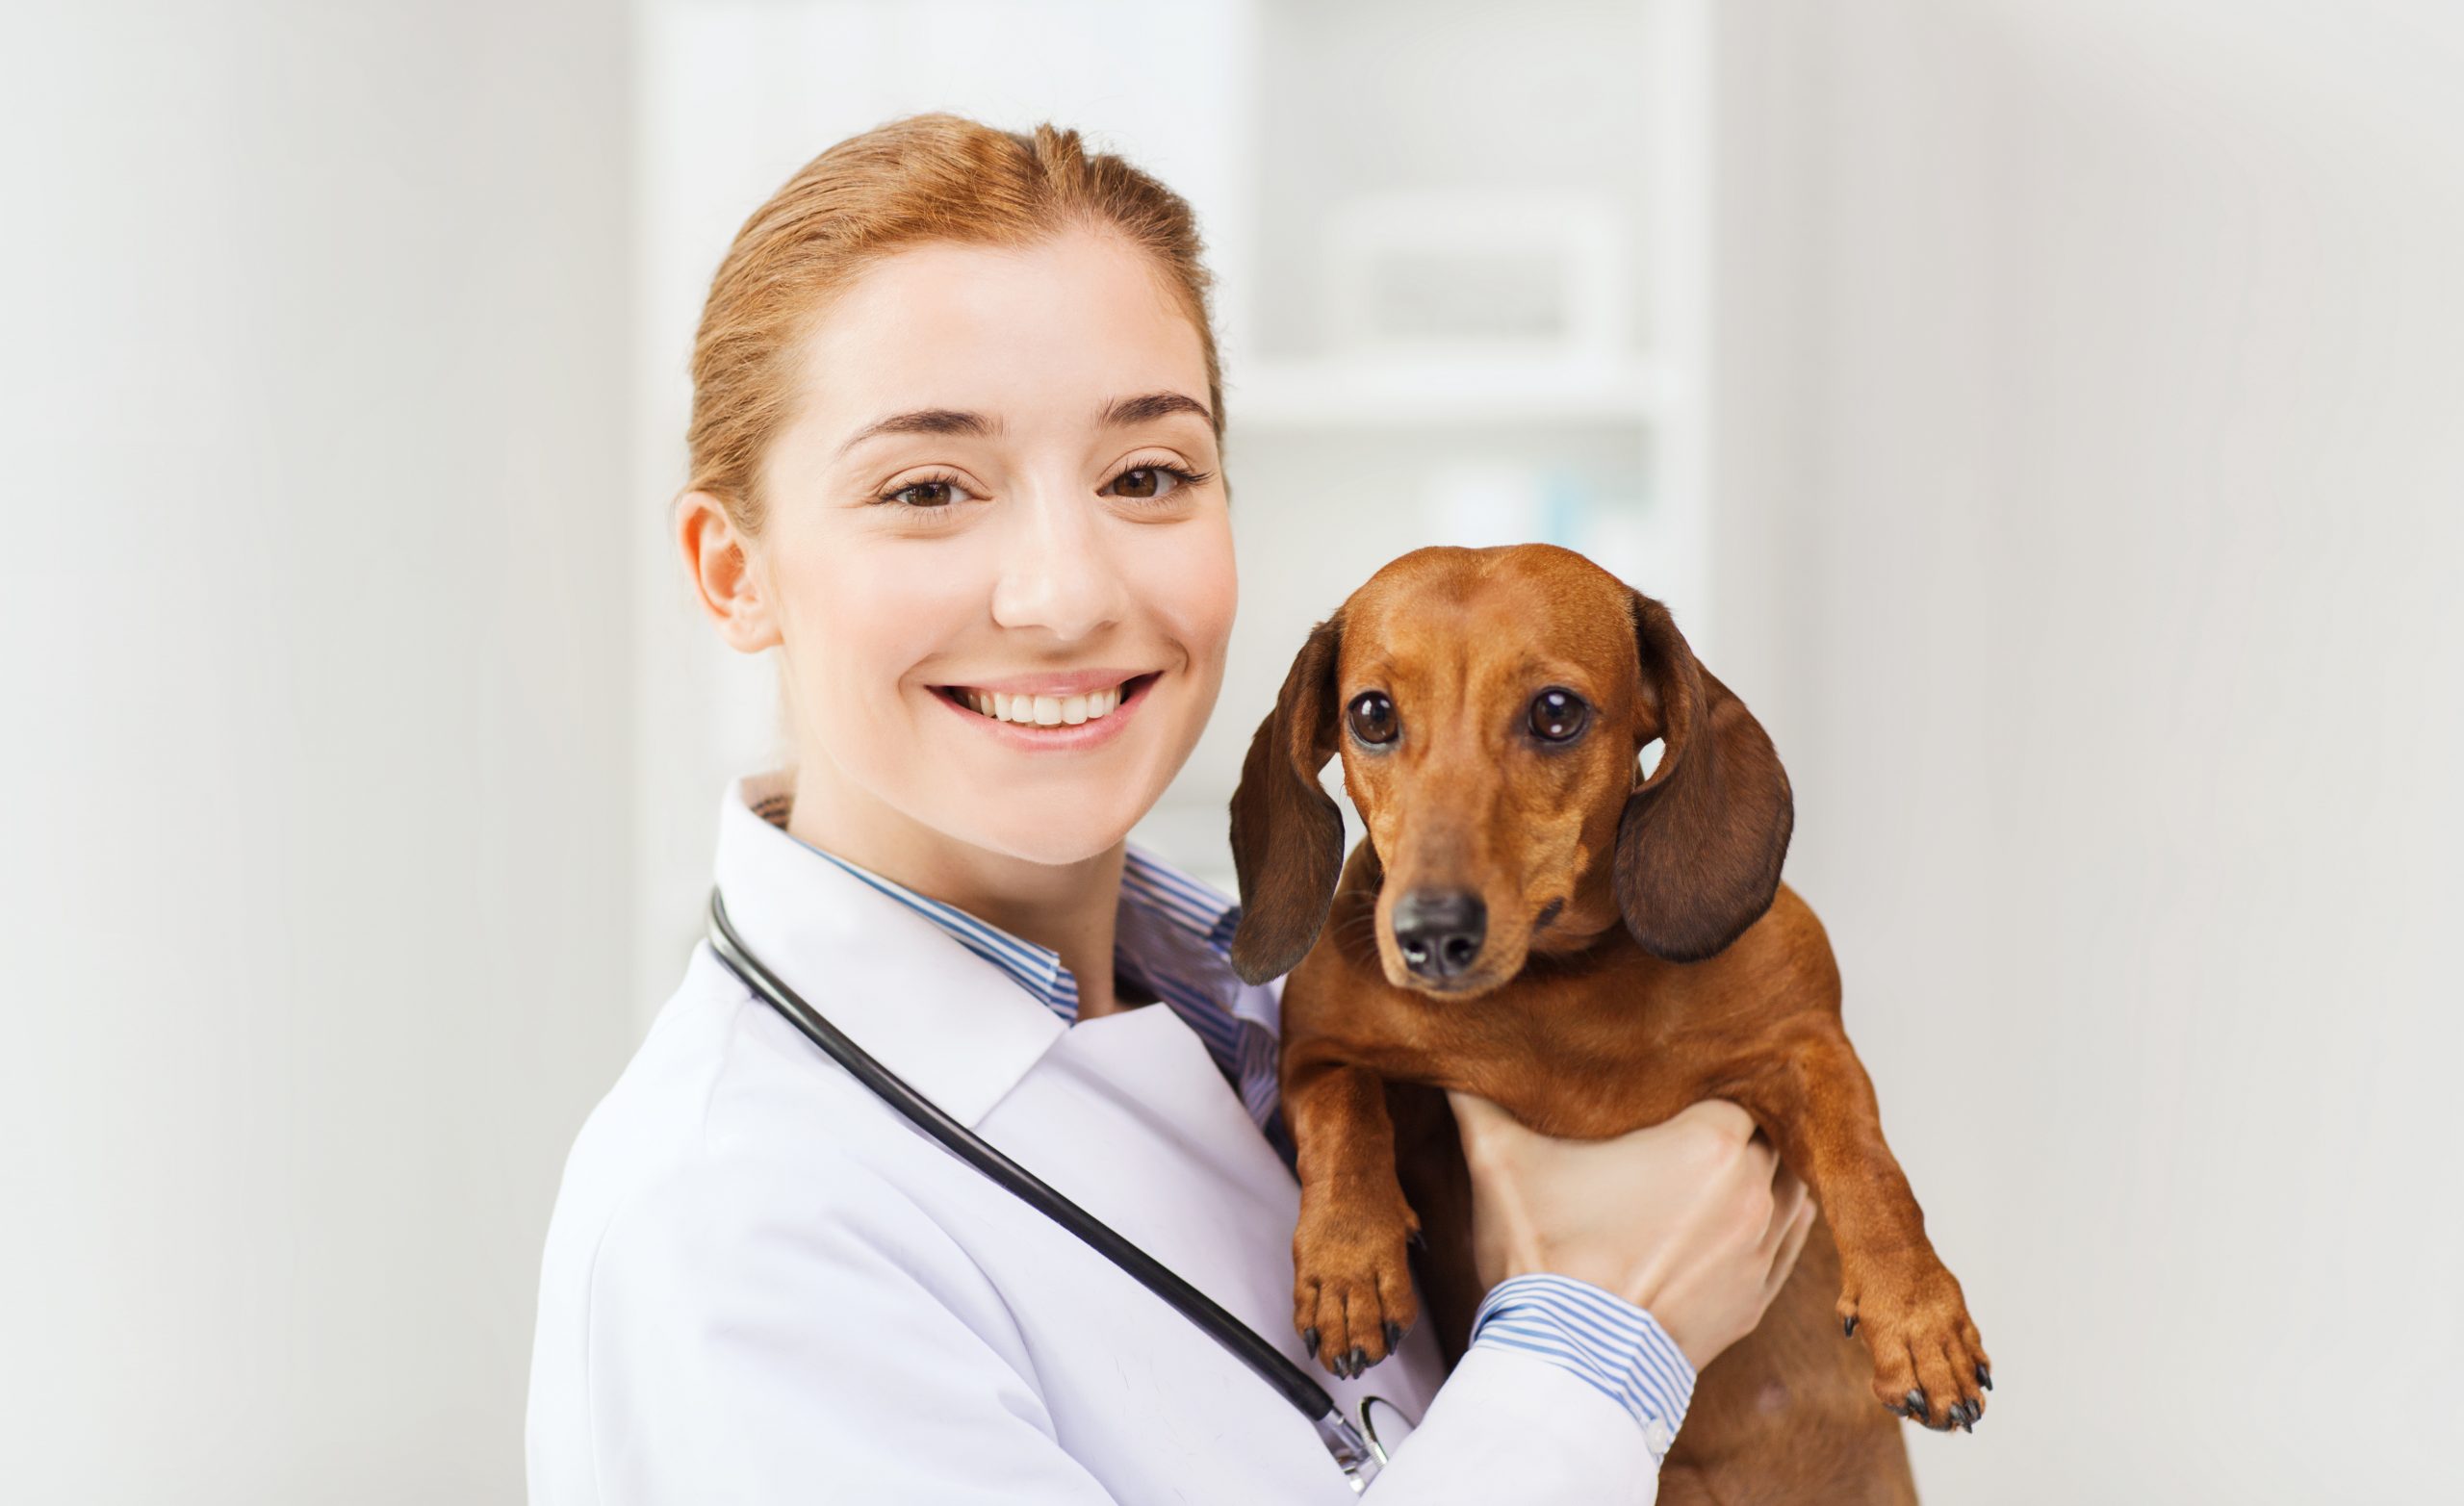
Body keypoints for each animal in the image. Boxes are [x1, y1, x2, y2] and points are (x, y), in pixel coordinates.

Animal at [1226, 547, 1981, 1498]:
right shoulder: (1320, 1051)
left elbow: (1868, 1166)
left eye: (1556, 712)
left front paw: (1918, 1317)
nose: (1430, 934)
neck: (1557, 983)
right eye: (1371, 714)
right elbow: (1342, 1110)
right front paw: (1347, 1262)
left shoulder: (1808, 1042)